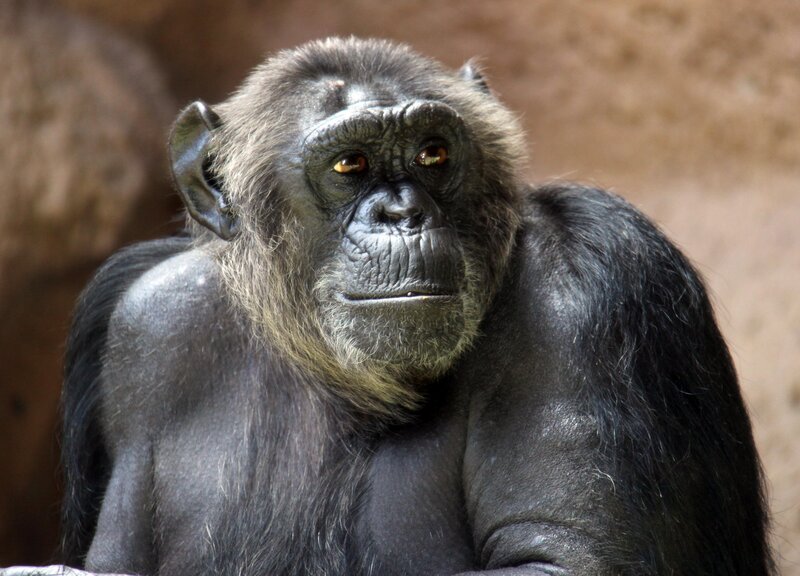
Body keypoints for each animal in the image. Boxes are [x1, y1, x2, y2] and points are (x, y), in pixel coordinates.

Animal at [1, 37, 774, 576]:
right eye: (351, 165)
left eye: (433, 153)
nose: (402, 213)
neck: (328, 367)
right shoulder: (141, 321)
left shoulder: (586, 289)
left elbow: (567, 559)